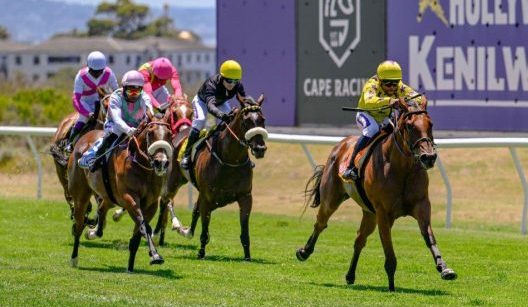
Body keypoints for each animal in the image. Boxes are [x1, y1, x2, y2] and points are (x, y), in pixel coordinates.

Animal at [68, 111, 173, 272]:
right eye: (150, 133)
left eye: (169, 134)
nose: (161, 162)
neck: (142, 166)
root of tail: (83, 139)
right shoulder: (130, 198)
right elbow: (144, 226)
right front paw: (155, 255)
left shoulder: (151, 203)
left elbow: (138, 234)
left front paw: (131, 266)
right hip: (81, 194)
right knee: (79, 224)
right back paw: (74, 258)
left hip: (109, 196)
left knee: (102, 208)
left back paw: (93, 232)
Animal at [169, 94, 268, 260]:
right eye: (246, 121)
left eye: (262, 119)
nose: (260, 148)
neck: (231, 160)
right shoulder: (207, 199)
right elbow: (204, 229)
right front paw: (201, 253)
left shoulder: (245, 197)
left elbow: (245, 232)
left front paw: (247, 256)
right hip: (174, 180)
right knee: (167, 201)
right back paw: (176, 227)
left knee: (194, 210)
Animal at [294, 97, 456, 292]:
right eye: (409, 126)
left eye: (430, 124)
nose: (429, 157)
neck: (402, 169)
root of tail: (340, 145)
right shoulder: (383, 213)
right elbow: (389, 250)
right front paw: (392, 286)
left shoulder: (421, 206)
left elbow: (429, 237)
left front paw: (444, 268)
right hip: (331, 199)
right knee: (320, 223)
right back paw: (304, 252)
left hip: (369, 213)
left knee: (359, 239)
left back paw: (350, 275)